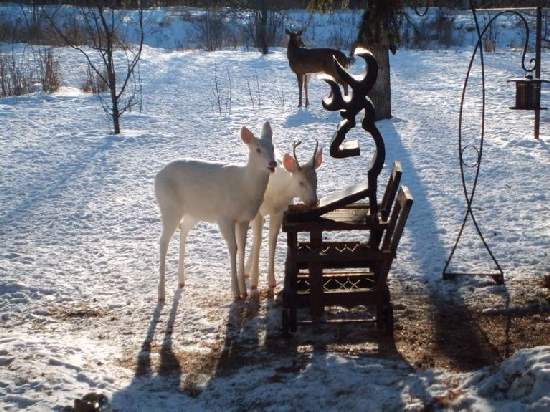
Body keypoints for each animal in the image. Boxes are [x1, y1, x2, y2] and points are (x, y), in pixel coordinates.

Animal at [154, 122, 276, 302]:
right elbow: (233, 247)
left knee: (183, 229)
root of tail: (157, 177)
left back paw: (181, 281)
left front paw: (244, 291)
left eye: (273, 146)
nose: (273, 163)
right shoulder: (224, 216)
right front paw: (236, 292)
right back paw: (161, 294)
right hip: (169, 207)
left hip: (193, 212)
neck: (245, 186)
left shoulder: (244, 218)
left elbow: (242, 246)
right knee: (163, 241)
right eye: (257, 149)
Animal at [247, 141, 324, 290]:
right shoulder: (257, 212)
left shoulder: (279, 212)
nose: (313, 201)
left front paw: (271, 280)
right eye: (301, 182)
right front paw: (254, 281)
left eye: (316, 179)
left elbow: (272, 241)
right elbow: (258, 240)